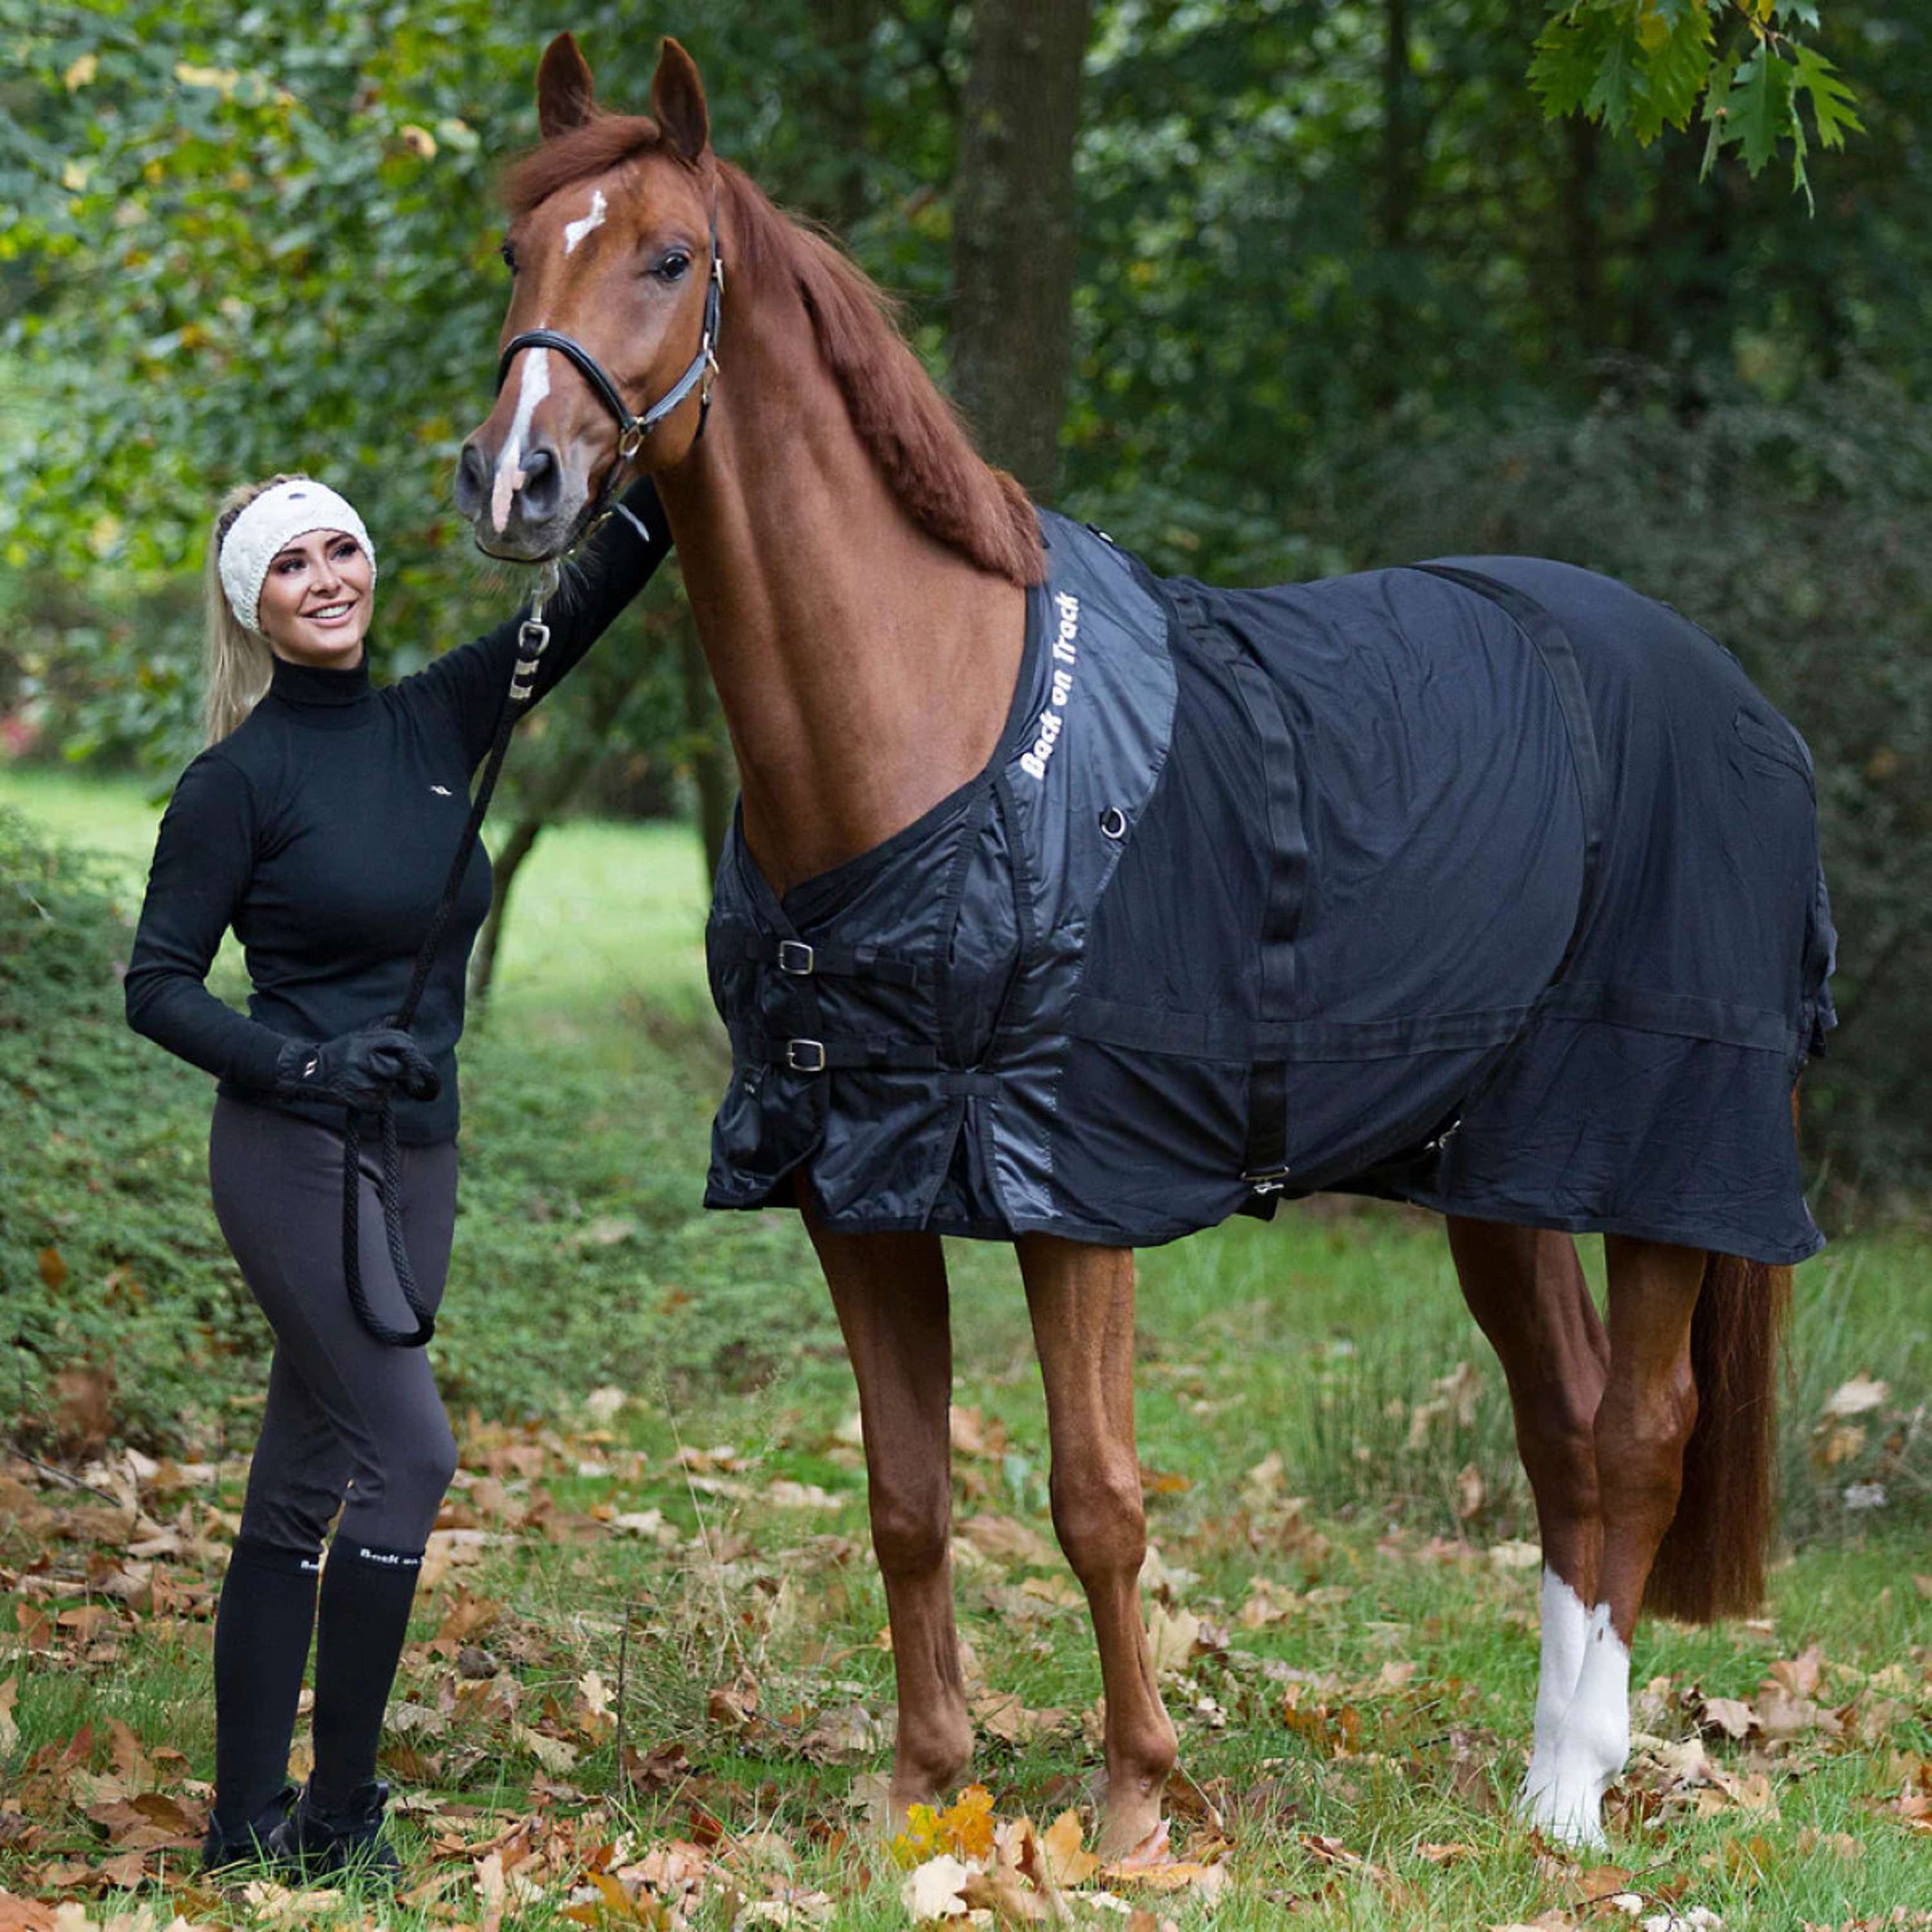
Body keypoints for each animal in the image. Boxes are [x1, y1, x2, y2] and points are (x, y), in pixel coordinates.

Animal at [453, 35, 1833, 1857]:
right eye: (519, 253)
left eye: (669, 259)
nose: (514, 478)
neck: (935, 727)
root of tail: (1738, 695)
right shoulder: (848, 1176)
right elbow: (905, 1490)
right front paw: (925, 1794)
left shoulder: (1072, 1182)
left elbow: (1094, 1494)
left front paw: (1131, 1806)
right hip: (1502, 1168)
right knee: (1561, 1428)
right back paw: (1549, 1769)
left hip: (1661, 1144)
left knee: (1637, 1438)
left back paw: (1575, 1796)